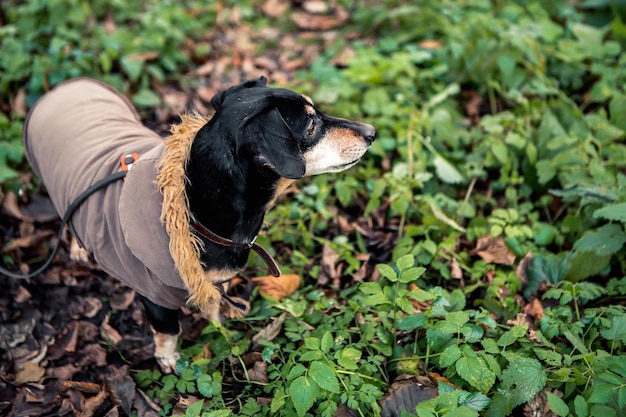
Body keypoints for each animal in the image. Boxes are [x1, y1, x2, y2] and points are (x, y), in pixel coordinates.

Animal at [23, 76, 376, 372]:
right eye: (311, 126)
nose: (372, 132)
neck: (194, 212)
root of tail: (67, 85)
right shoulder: (155, 297)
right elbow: (168, 331)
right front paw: (169, 359)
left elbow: (215, 302)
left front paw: (221, 322)